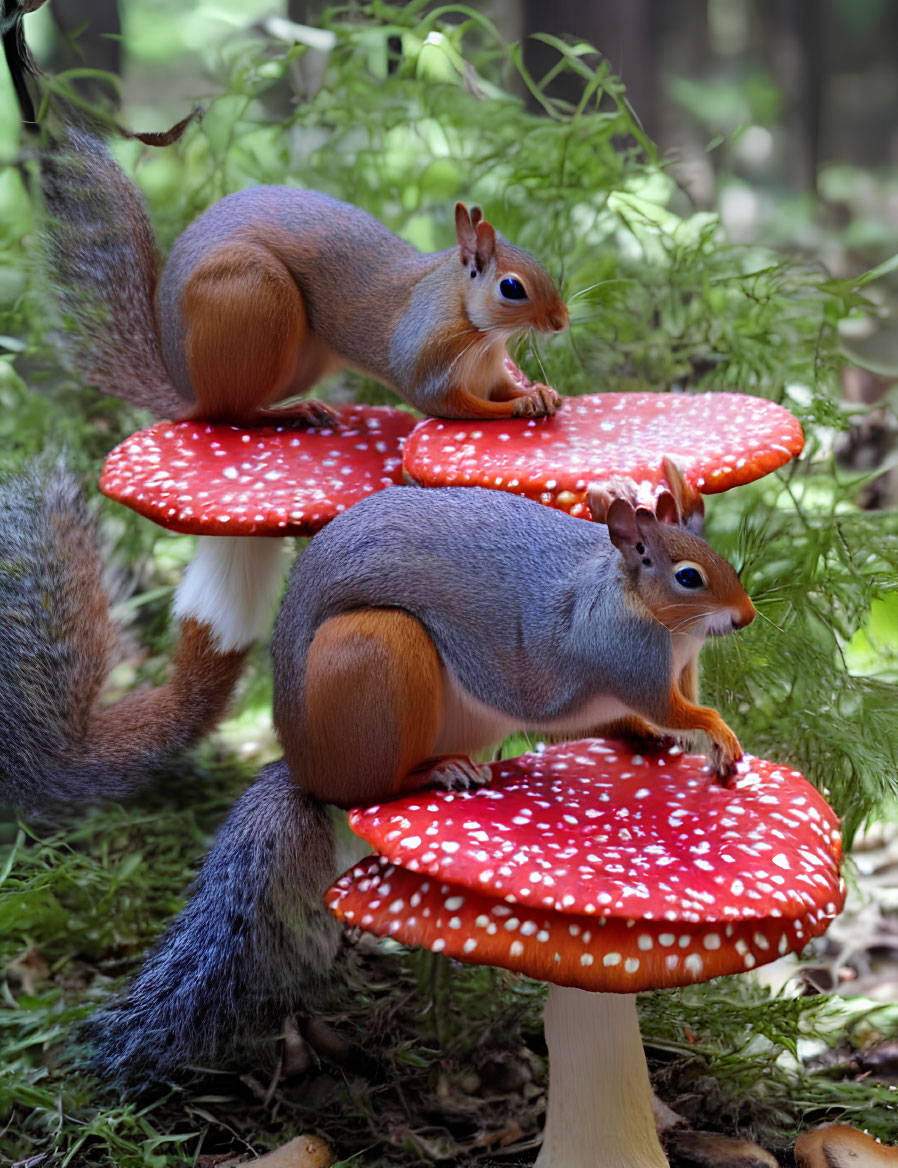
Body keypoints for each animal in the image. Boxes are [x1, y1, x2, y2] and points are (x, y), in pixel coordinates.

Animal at [3, 6, 567, 427]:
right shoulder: (429, 362)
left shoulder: (489, 368)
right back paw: (286, 414)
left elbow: (500, 387)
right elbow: (452, 406)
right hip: (254, 298)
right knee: (230, 413)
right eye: (511, 288)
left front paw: (539, 391)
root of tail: (188, 390)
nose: (560, 322)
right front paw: (520, 403)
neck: (478, 331)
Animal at [70, 474, 752, 1083]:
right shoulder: (624, 659)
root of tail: (308, 768)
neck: (652, 617)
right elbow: (678, 709)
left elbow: (647, 713)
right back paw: (434, 772)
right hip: (381, 654)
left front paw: (660, 738)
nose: (745, 617)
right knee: (372, 790)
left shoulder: (660, 676)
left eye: (723, 559)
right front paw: (717, 734)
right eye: (687, 576)